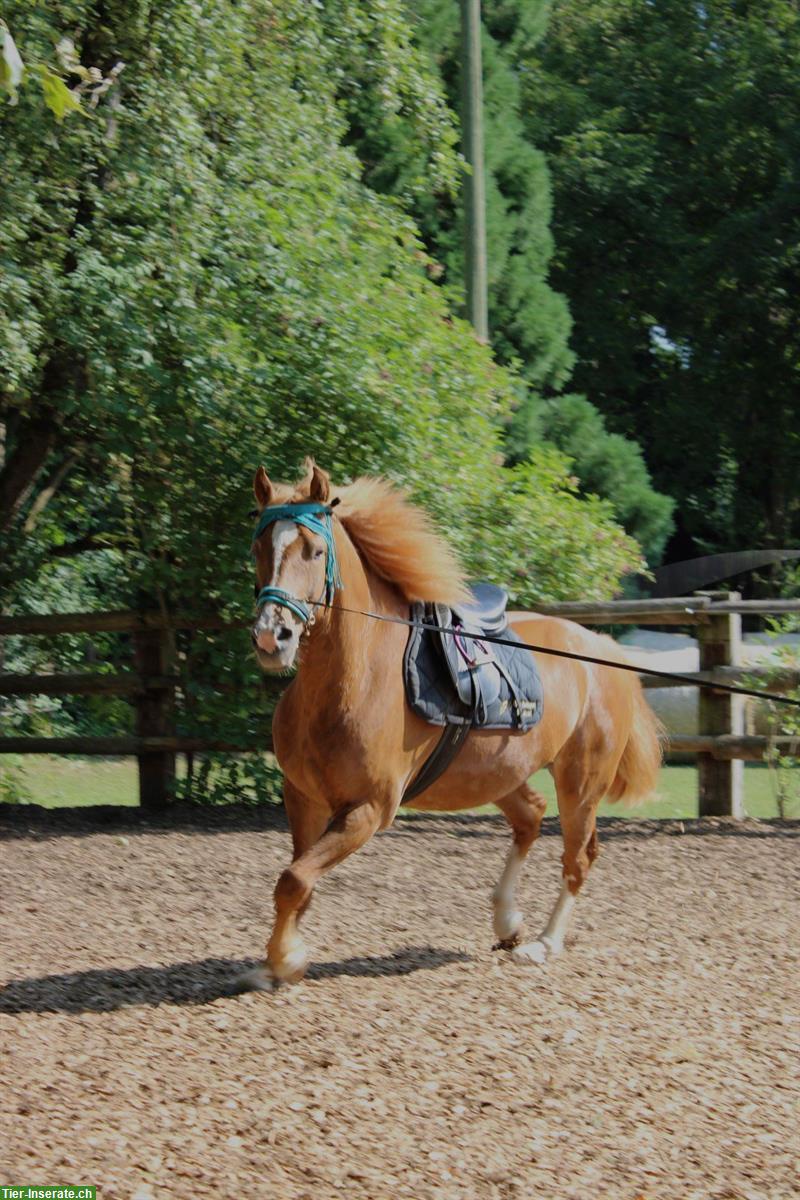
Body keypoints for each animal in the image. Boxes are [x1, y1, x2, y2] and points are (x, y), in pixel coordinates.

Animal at [245, 458, 662, 984]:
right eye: (258, 547)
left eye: (315, 550)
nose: (271, 637)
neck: (354, 679)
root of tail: (601, 650)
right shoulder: (302, 796)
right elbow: (299, 878)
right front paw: (278, 960)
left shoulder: (369, 809)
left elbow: (294, 878)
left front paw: (284, 959)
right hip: (496, 774)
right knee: (530, 818)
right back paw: (508, 922)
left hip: (581, 781)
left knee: (578, 856)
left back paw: (543, 944)